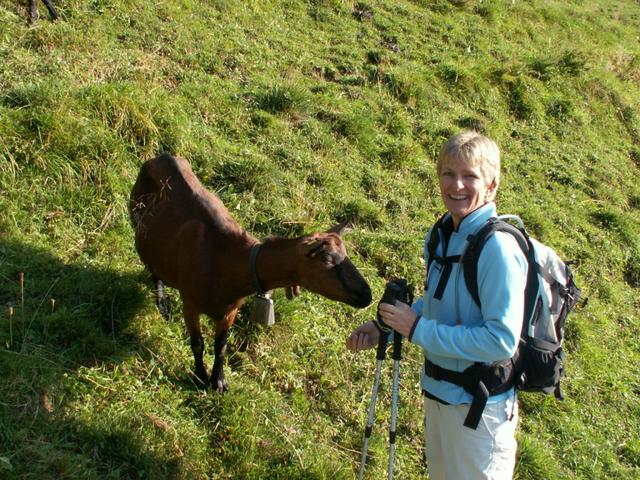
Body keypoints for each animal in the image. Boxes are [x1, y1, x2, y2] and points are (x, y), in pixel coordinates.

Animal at [129, 154, 370, 390]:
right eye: (327, 260)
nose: (367, 295)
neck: (225, 260)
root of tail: (161, 156)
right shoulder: (190, 302)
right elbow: (198, 343)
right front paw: (199, 377)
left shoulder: (231, 310)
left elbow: (221, 345)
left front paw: (219, 381)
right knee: (153, 267)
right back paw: (162, 303)